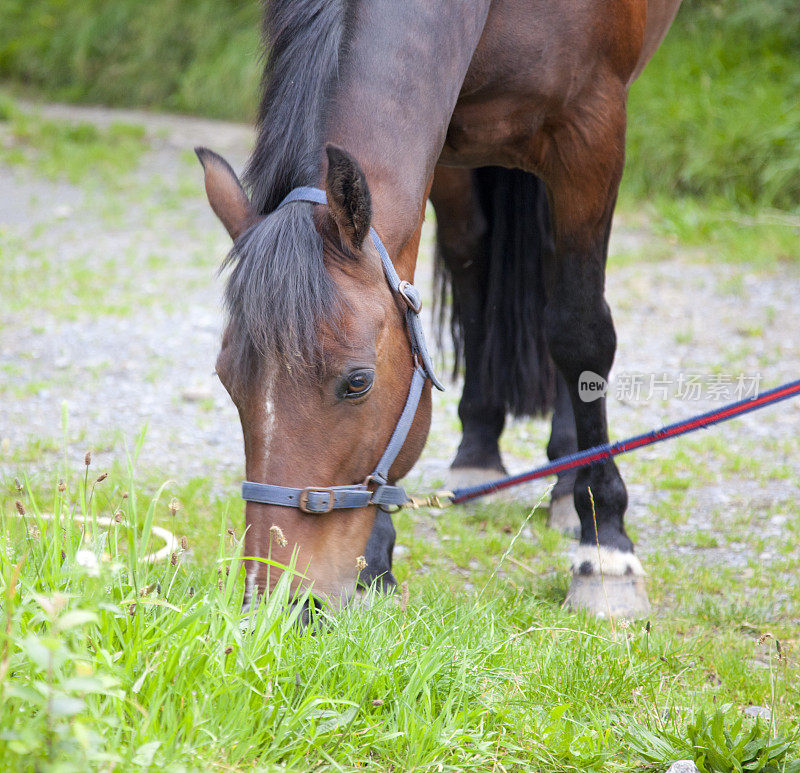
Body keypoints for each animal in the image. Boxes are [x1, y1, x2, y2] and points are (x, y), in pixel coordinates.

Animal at [198, 0, 680, 616]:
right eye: (227, 379)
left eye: (357, 382)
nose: (279, 599)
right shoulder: (439, 145)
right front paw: (375, 562)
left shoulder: (591, 129)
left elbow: (580, 330)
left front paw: (607, 548)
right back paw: (480, 445)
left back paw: (569, 485)